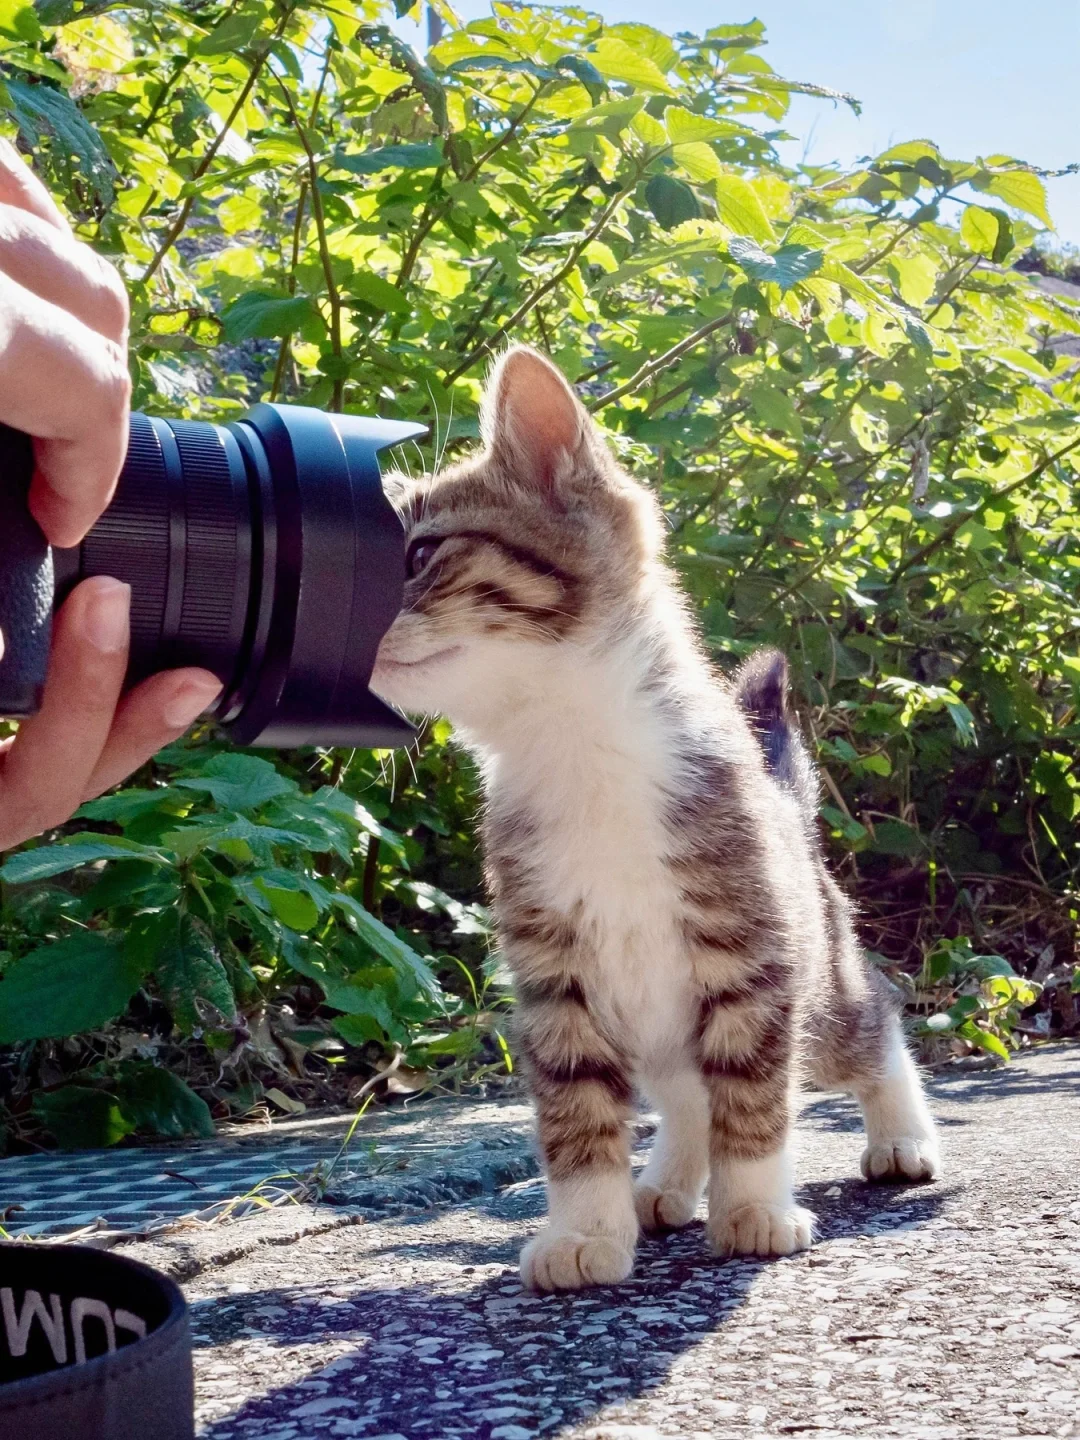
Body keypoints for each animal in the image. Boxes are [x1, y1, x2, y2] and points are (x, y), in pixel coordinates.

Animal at [371, 345, 938, 1296]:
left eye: (419, 552)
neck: (577, 749)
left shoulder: (751, 960)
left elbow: (754, 1095)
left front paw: (755, 1208)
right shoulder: (553, 978)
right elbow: (578, 1113)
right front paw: (586, 1228)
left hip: (818, 981)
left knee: (870, 1027)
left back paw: (901, 1135)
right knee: (686, 1095)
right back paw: (666, 1183)